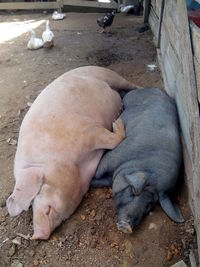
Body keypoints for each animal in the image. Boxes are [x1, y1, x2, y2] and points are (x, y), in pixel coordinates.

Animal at [5, 66, 138, 241]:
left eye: (39, 190)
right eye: (31, 204)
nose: (37, 235)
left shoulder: (89, 131)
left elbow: (113, 140)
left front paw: (117, 122)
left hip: (109, 75)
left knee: (128, 84)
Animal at [91, 88, 184, 234]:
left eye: (149, 206)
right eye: (133, 192)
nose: (127, 227)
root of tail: (154, 89)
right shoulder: (112, 157)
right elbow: (97, 172)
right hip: (131, 97)